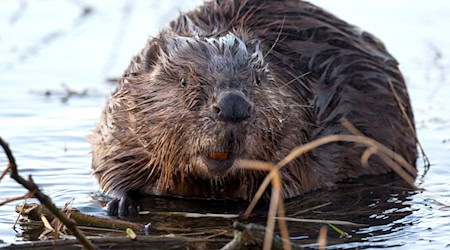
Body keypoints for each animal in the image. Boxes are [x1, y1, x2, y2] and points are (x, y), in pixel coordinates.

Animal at [89, 0, 418, 217]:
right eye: (183, 81)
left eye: (258, 80)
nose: (233, 105)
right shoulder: (121, 121)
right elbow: (110, 164)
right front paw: (120, 203)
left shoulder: (299, 129)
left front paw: (261, 204)